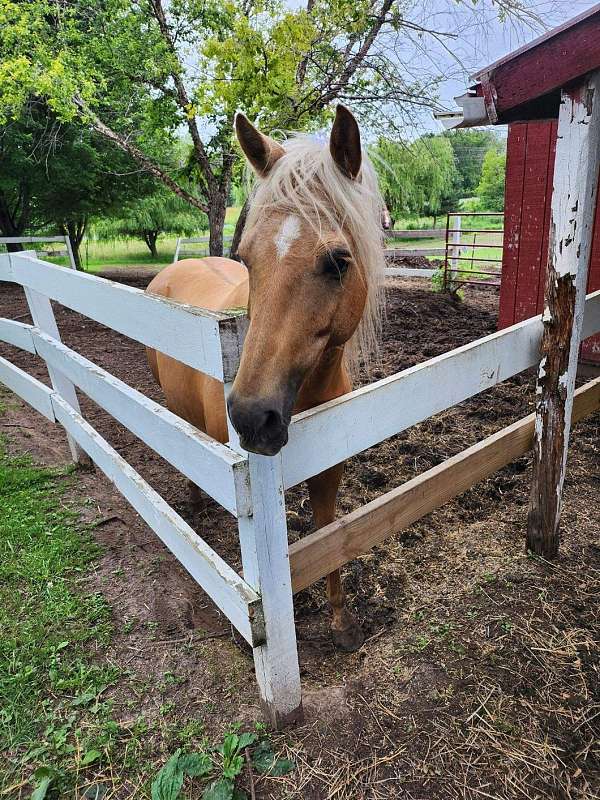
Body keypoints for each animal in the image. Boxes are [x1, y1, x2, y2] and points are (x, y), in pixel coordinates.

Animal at [148, 106, 386, 652]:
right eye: (247, 257)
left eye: (339, 261)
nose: (252, 416)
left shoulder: (329, 471)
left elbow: (327, 535)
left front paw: (340, 621)